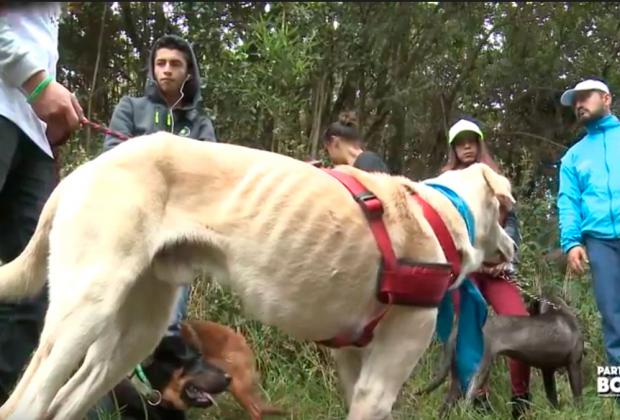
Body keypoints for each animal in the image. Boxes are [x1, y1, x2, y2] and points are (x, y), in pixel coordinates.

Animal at [0, 133, 516, 420]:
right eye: (508, 214)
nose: (514, 253)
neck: (446, 212)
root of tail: (84, 169)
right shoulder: (386, 369)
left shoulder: (354, 360)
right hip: (85, 310)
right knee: (23, 403)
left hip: (136, 333)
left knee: (62, 405)